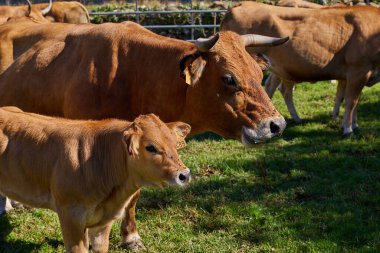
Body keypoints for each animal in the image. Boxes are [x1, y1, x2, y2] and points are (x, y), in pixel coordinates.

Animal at [221, 1, 380, 135]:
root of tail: (242, 5)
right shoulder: (358, 70)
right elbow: (351, 101)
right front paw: (348, 128)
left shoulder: (358, 74)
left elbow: (355, 100)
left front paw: (354, 125)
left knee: (274, 88)